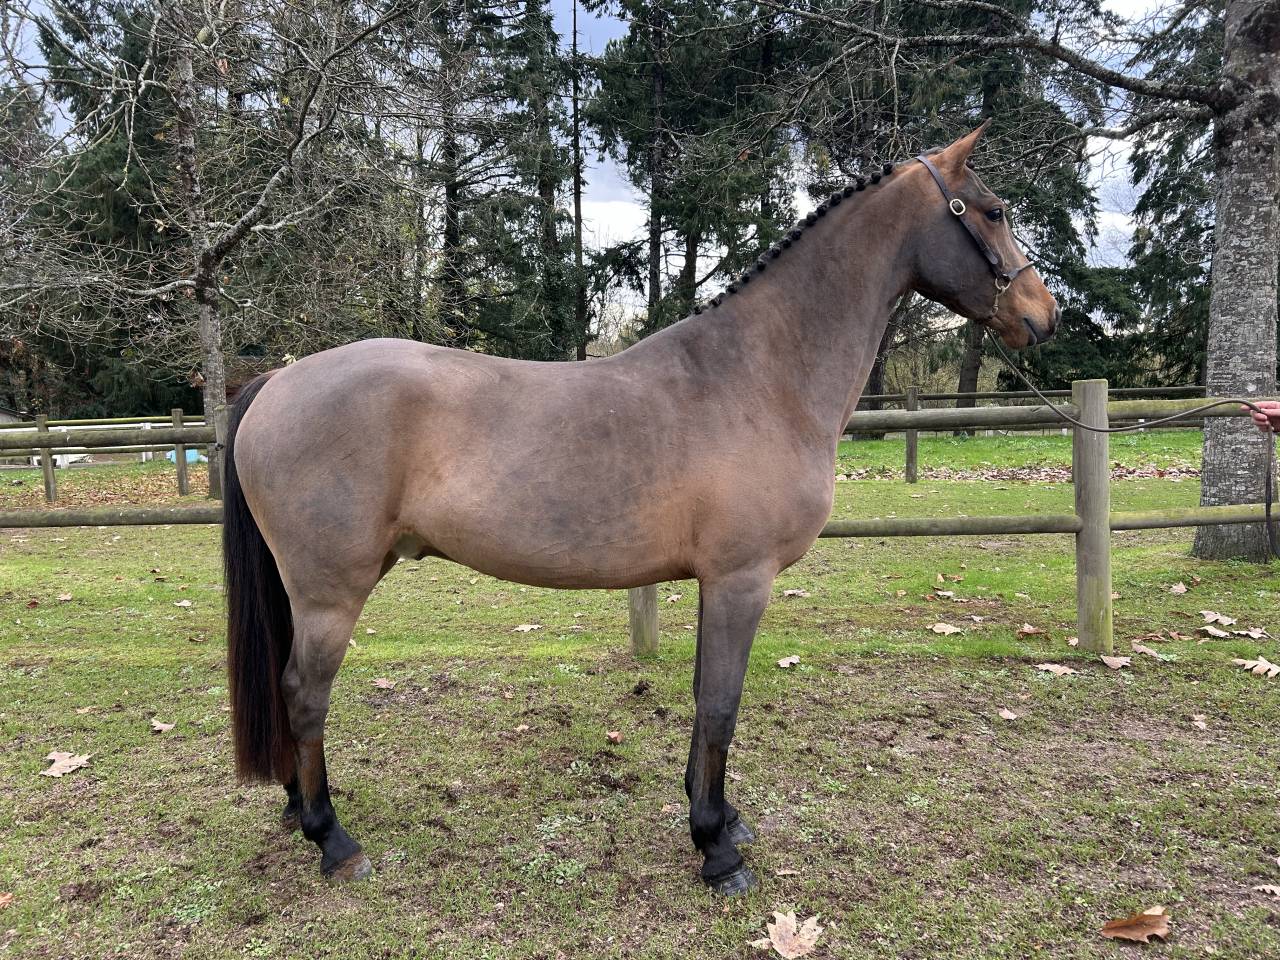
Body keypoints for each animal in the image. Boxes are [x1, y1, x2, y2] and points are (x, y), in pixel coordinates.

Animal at [222, 122, 1059, 895]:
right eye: (992, 211)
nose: (1044, 314)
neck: (760, 376)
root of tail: (278, 381)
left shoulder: (717, 582)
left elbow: (704, 698)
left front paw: (720, 818)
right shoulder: (740, 578)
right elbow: (720, 703)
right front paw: (716, 849)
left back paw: (299, 810)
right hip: (331, 592)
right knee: (304, 694)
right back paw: (333, 839)